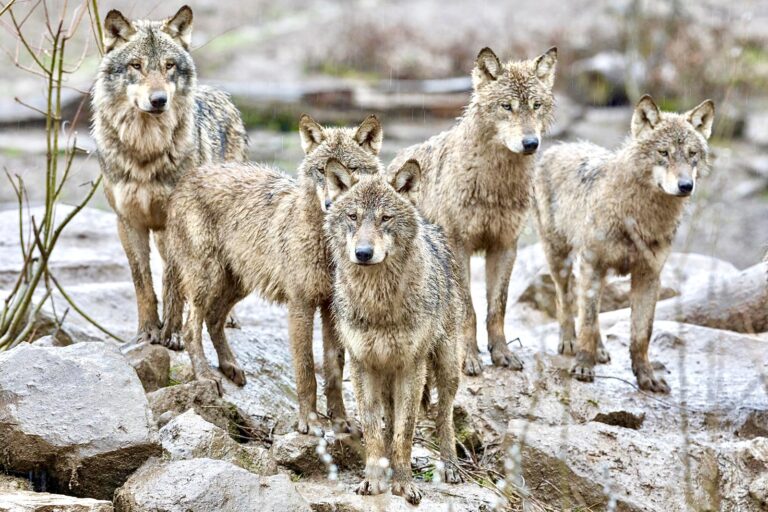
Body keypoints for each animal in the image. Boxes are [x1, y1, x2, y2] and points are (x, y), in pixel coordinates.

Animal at [91, 5, 247, 345]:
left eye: (169, 65)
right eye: (136, 65)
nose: (159, 100)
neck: (146, 151)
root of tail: (219, 92)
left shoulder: (173, 222)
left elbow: (173, 283)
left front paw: (172, 333)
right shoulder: (129, 222)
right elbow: (143, 284)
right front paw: (148, 332)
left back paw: (224, 317)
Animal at [161, 115, 385, 434]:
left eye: (351, 169)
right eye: (321, 171)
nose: (332, 205)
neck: (328, 245)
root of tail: (187, 177)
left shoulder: (332, 309)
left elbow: (333, 370)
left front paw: (341, 422)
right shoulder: (300, 304)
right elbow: (306, 369)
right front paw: (309, 421)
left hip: (238, 283)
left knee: (213, 319)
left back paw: (230, 366)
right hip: (208, 278)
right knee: (191, 328)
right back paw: (206, 376)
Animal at [326, 161, 464, 505]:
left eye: (385, 218)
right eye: (353, 216)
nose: (363, 253)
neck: (379, 304)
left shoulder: (412, 366)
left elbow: (406, 430)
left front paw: (404, 484)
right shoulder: (361, 364)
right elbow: (374, 428)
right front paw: (373, 481)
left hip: (447, 365)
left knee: (444, 415)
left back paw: (451, 466)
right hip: (385, 375)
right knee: (387, 419)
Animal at [388, 47, 558, 376]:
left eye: (536, 105)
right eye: (507, 106)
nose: (531, 143)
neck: (496, 185)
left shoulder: (505, 246)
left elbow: (497, 307)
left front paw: (502, 353)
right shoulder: (459, 245)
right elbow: (468, 308)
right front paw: (468, 356)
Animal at [533, 95, 715, 393]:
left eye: (692, 155)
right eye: (664, 153)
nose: (686, 185)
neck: (640, 215)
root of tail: (560, 146)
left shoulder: (649, 275)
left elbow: (641, 335)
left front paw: (647, 377)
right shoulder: (592, 263)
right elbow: (587, 321)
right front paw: (583, 365)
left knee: (591, 309)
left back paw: (600, 350)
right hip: (561, 259)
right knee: (566, 300)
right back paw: (570, 342)